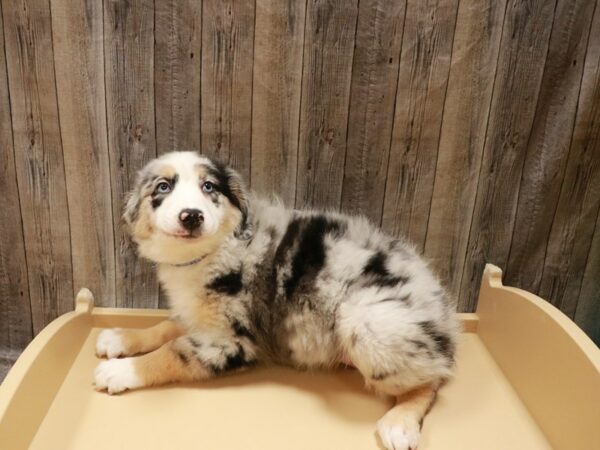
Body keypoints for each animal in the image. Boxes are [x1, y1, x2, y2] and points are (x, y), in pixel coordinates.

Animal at [94, 151, 460, 450]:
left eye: (209, 187)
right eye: (163, 187)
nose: (192, 215)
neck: (209, 253)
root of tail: (445, 311)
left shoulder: (235, 342)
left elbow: (173, 351)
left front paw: (119, 371)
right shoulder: (198, 315)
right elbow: (165, 327)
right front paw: (120, 337)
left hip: (370, 324)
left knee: (432, 380)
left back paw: (400, 423)